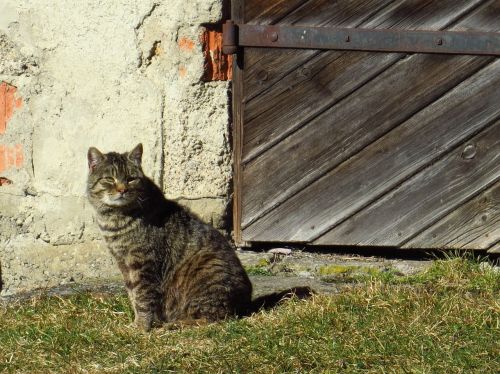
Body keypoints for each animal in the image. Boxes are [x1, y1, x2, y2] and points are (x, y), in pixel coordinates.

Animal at [87, 143, 312, 330]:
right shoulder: (124, 264)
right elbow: (133, 295)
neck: (115, 219)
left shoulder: (144, 263)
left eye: (131, 179)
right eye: (109, 179)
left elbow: (142, 297)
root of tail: (247, 303)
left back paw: (173, 325)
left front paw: (141, 327)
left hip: (205, 270)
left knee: (214, 318)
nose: (122, 189)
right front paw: (138, 322)